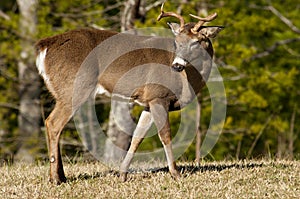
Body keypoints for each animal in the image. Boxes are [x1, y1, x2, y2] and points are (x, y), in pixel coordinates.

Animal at [35, 4, 223, 185]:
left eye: (196, 42)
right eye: (177, 42)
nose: (176, 65)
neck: (188, 80)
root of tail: (44, 46)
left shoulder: (148, 102)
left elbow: (136, 138)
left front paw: (122, 175)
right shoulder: (158, 95)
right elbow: (165, 136)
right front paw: (175, 174)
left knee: (53, 124)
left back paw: (60, 177)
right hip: (74, 88)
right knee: (53, 123)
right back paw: (56, 179)